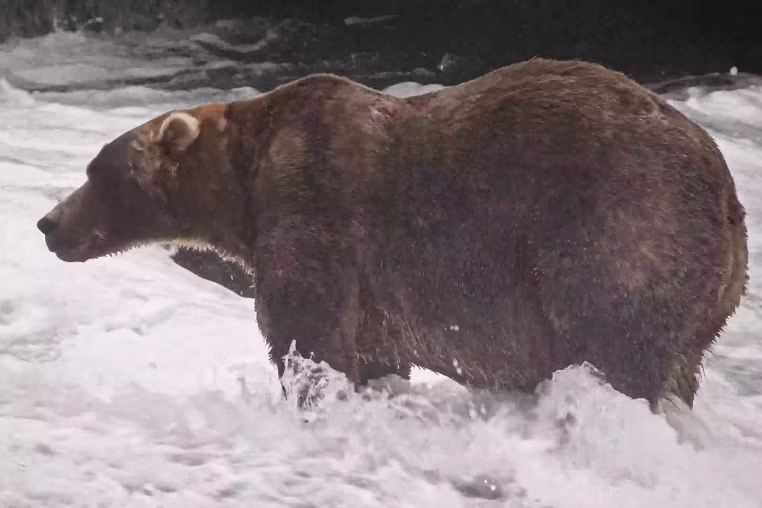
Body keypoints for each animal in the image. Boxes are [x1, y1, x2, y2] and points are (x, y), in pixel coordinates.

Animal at [37, 58, 748, 411]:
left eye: (96, 170)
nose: (48, 223)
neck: (243, 184)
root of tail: (726, 190)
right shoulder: (375, 291)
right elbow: (374, 351)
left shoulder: (315, 208)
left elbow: (306, 332)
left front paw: (311, 395)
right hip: (709, 294)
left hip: (618, 226)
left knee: (616, 339)